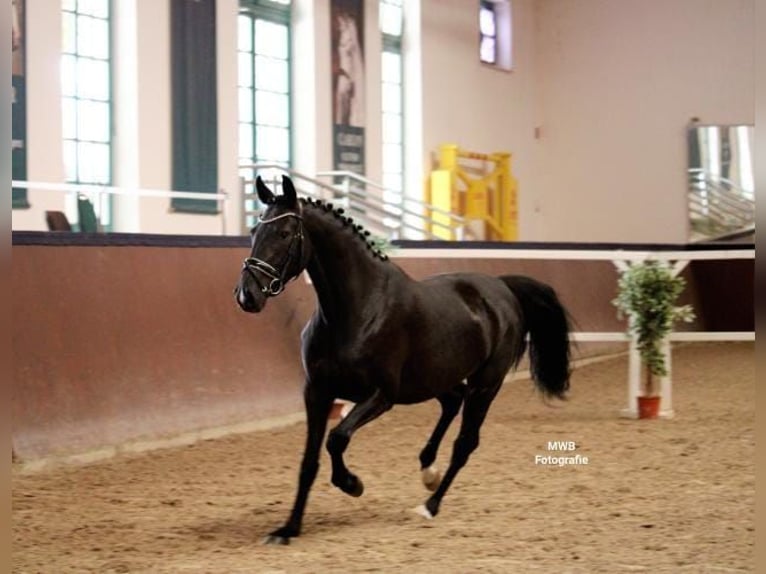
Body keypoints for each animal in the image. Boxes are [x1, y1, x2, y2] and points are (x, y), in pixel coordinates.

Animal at [237, 176, 572, 544]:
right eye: (254, 231)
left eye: (284, 233)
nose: (247, 296)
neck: (356, 310)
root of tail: (502, 287)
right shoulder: (317, 393)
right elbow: (309, 461)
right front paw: (288, 529)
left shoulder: (381, 396)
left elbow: (337, 438)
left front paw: (352, 484)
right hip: (435, 379)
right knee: (452, 402)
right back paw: (428, 469)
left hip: (485, 385)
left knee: (465, 443)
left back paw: (430, 504)